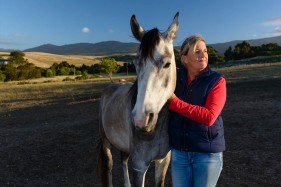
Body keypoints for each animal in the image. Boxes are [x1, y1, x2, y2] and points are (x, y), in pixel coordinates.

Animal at [97, 12, 178, 186]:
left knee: (123, 159)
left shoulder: (163, 161)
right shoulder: (139, 167)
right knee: (109, 165)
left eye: (167, 64)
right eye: (135, 64)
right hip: (105, 140)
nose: (141, 119)